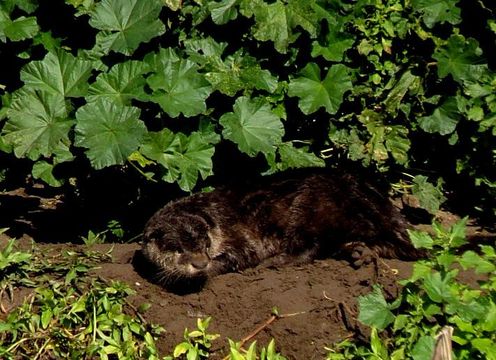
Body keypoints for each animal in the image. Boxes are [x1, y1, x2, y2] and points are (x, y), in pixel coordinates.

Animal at [140, 169, 422, 290]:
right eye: (179, 249)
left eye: (205, 244)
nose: (200, 263)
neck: (216, 219)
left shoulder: (243, 237)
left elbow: (241, 256)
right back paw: (360, 253)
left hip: (307, 207)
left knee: (310, 246)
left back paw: (275, 262)